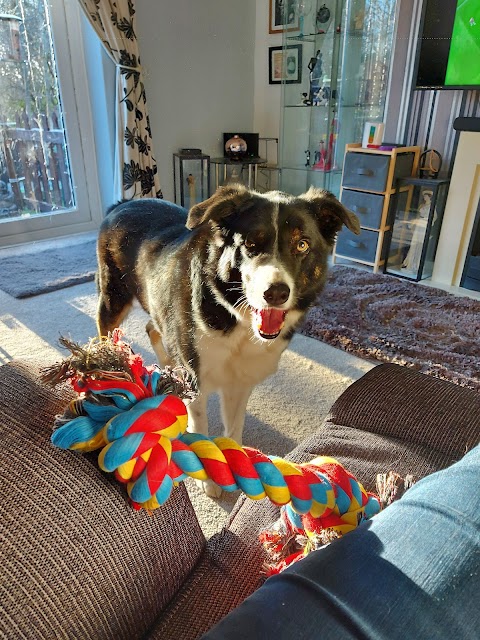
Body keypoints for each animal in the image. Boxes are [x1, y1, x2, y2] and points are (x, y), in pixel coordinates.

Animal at [95, 182, 358, 498]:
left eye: (302, 245)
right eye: (250, 244)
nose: (276, 293)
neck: (237, 320)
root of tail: (120, 205)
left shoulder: (239, 381)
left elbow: (233, 428)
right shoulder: (197, 379)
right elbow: (201, 429)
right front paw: (209, 482)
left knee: (152, 327)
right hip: (114, 297)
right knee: (105, 334)